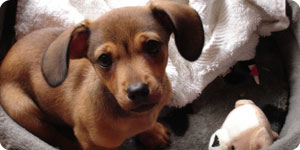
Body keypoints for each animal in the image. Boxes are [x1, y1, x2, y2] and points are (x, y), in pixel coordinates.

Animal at [0, 1, 204, 150]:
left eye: (152, 45)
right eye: (104, 59)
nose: (137, 91)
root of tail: (5, 60)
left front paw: (151, 133)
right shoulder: (90, 141)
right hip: (25, 109)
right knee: (54, 137)